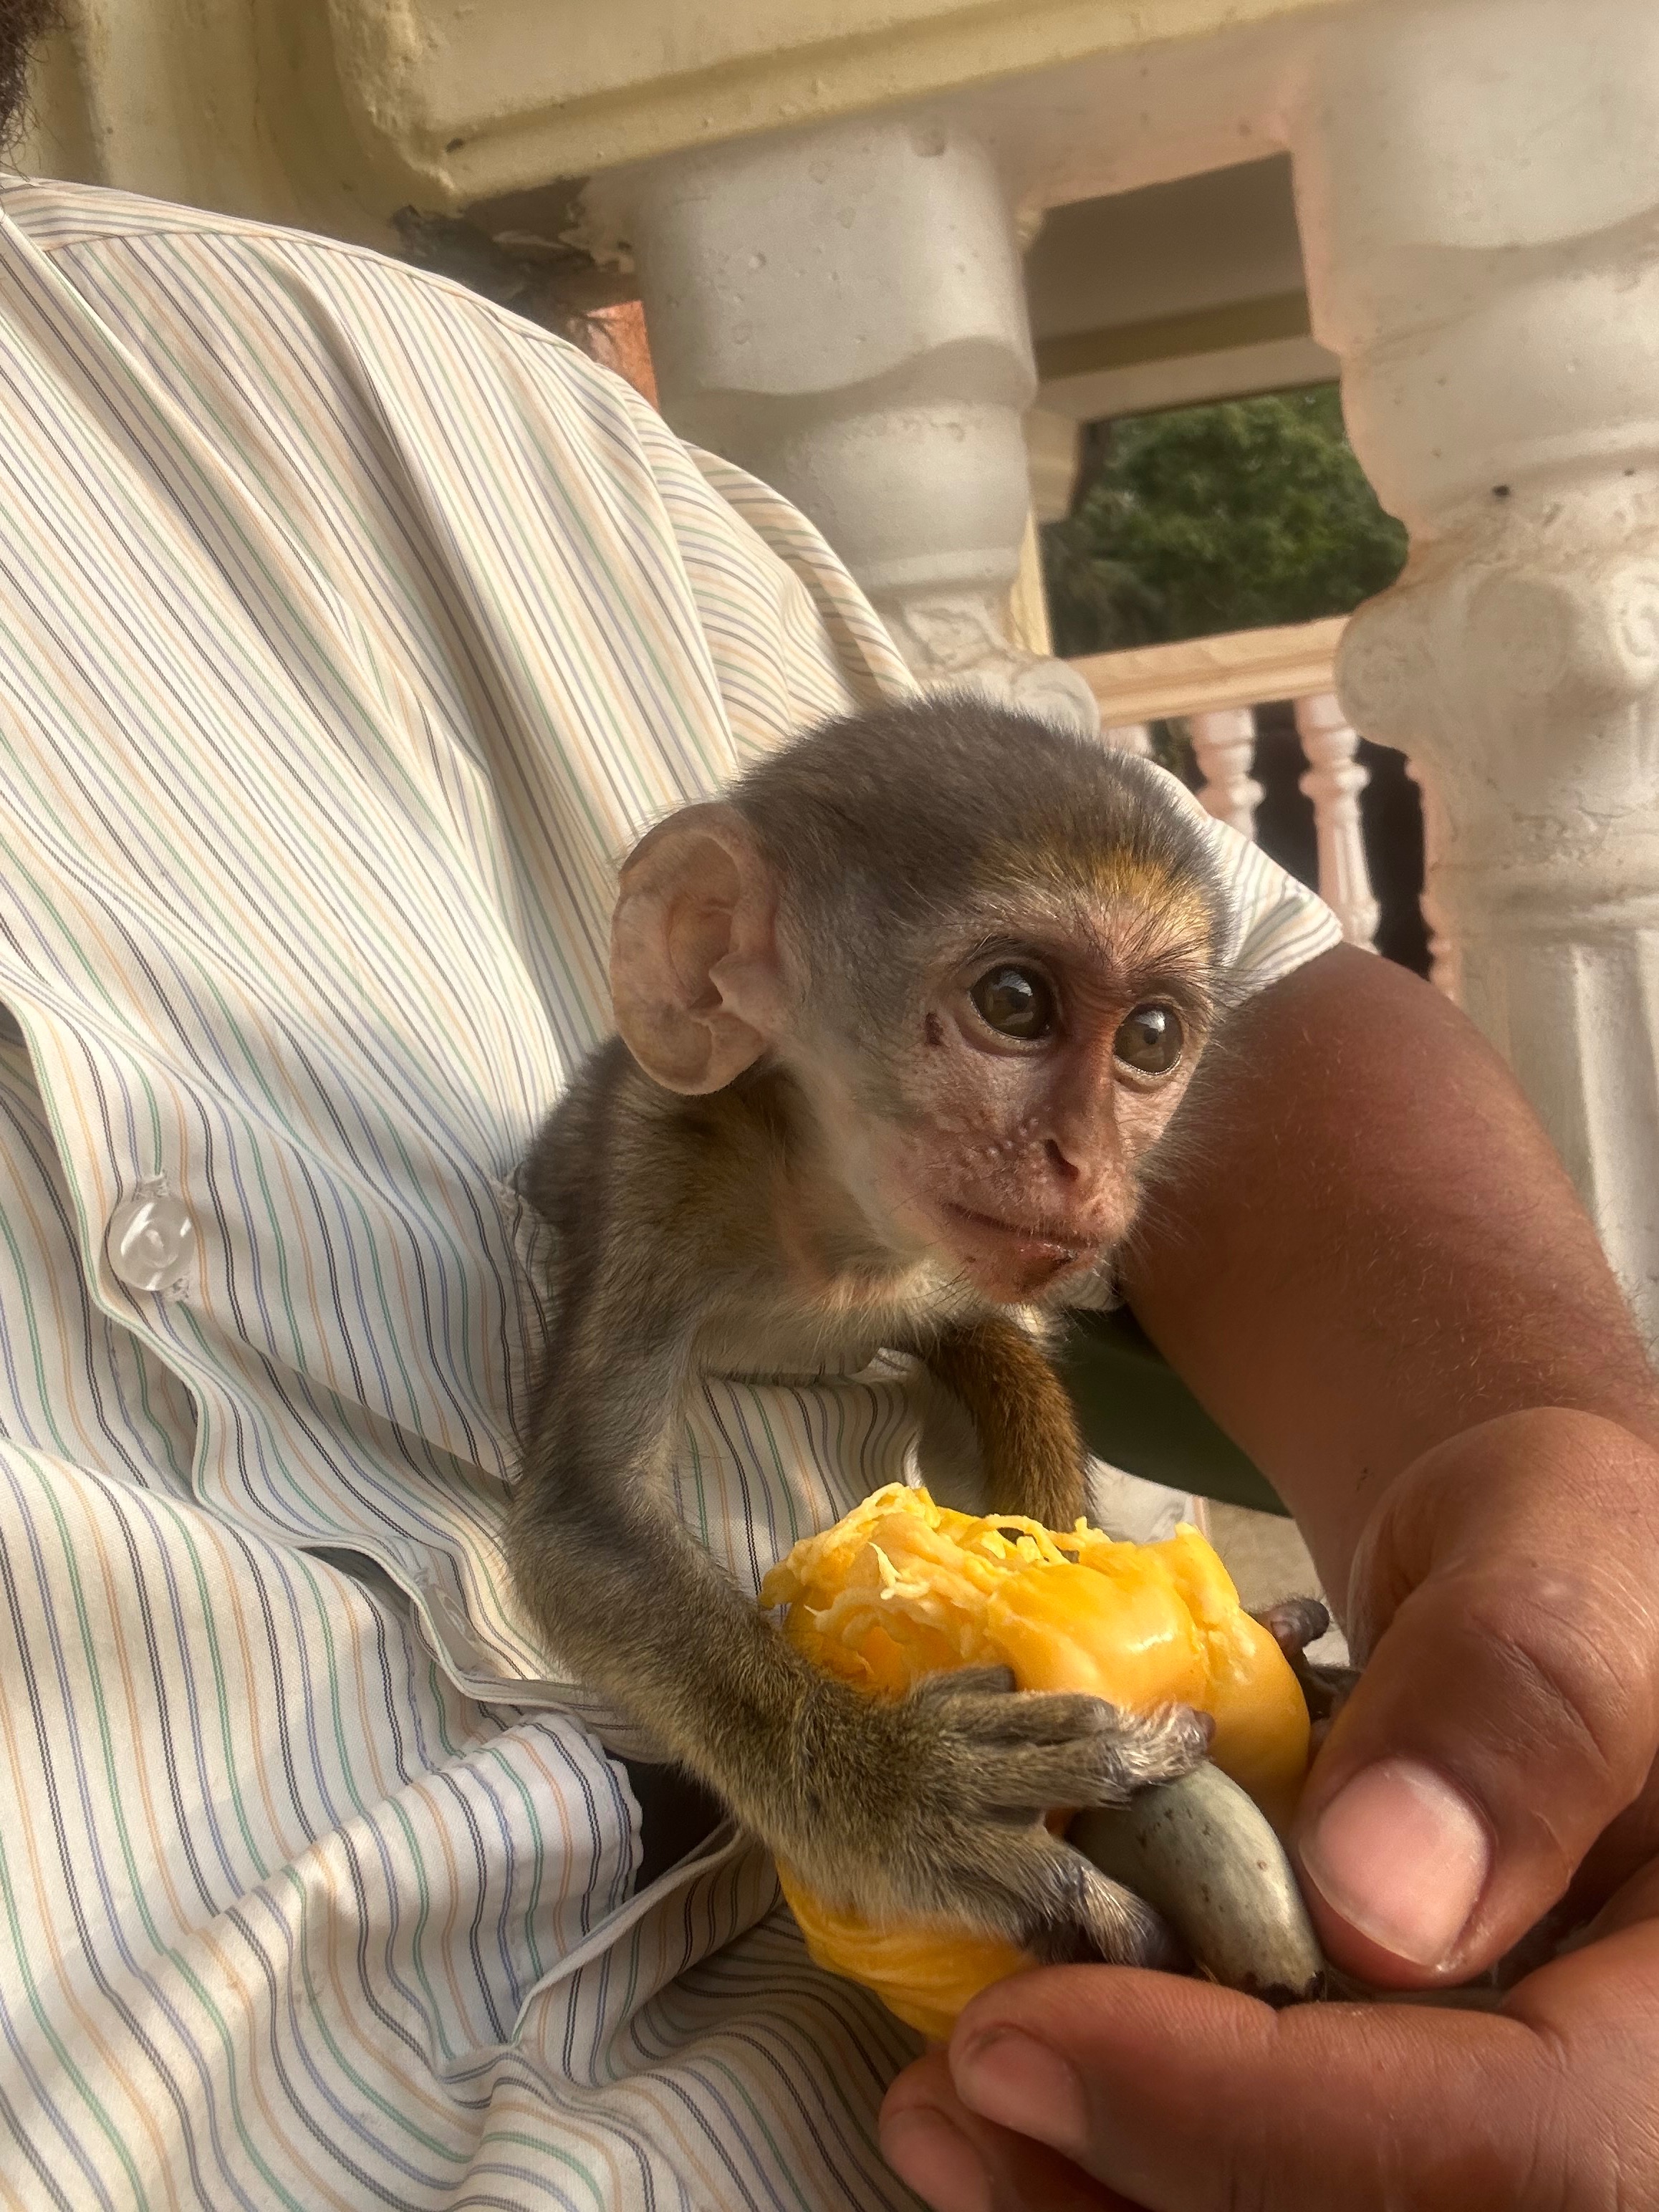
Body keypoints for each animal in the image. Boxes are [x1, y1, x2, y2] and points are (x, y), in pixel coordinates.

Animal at [510, 691, 1234, 1967]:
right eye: (1014, 1004)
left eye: (1150, 1036)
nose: (1088, 1162)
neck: (833, 1227)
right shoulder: (663, 1162)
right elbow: (586, 1527)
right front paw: (898, 1793)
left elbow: (999, 1348)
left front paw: (1055, 1556)